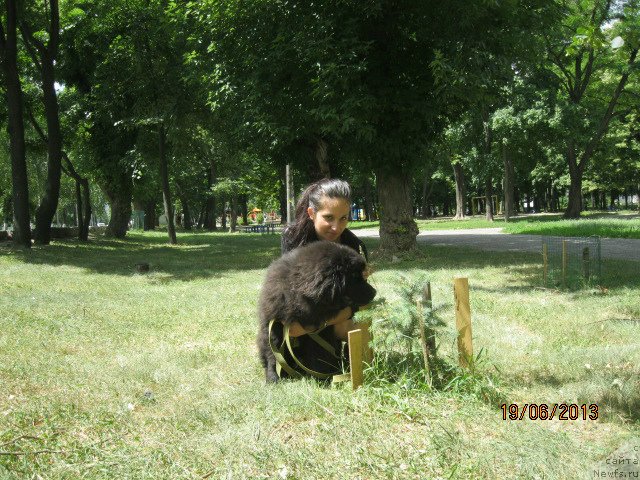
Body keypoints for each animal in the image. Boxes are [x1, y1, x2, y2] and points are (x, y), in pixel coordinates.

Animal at [258, 242, 378, 384]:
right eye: (355, 278)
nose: (374, 292)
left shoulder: (319, 333)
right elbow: (273, 355)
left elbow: (319, 356)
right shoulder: (273, 327)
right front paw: (273, 377)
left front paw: (321, 377)